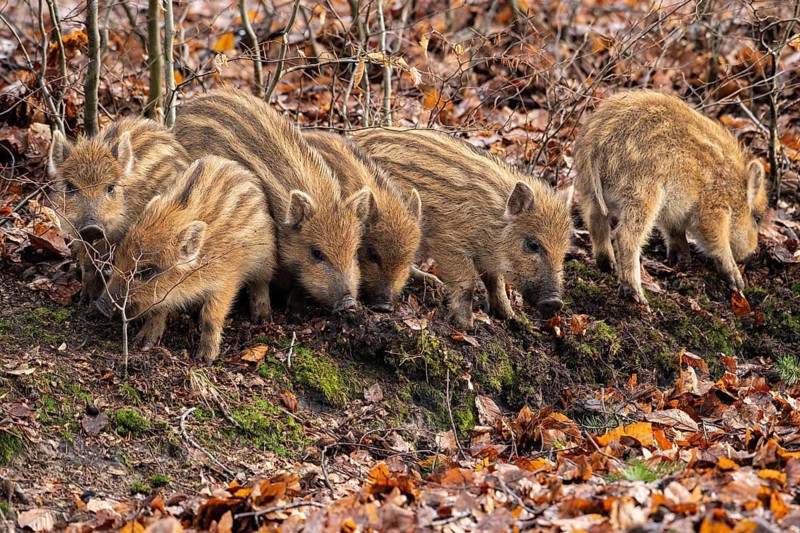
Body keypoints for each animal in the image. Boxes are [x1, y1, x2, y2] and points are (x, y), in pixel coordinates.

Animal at [95, 156, 277, 363]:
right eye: (118, 259)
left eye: (147, 271)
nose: (100, 307)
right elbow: (158, 309)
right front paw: (143, 342)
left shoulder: (227, 280)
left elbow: (211, 317)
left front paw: (206, 358)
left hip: (265, 257)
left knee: (261, 283)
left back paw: (262, 318)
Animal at [354, 129, 573, 330]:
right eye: (532, 244)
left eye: (565, 251)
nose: (555, 302)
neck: (490, 220)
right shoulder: (448, 244)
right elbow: (468, 283)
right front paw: (467, 325)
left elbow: (496, 282)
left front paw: (510, 317)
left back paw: (433, 282)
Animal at [573, 90, 767, 303]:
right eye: (757, 218)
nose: (749, 257)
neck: (732, 188)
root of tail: (597, 141)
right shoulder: (712, 211)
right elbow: (718, 242)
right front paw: (737, 283)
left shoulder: (674, 210)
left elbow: (675, 232)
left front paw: (681, 262)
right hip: (643, 194)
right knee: (625, 236)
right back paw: (637, 295)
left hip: (589, 189)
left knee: (594, 220)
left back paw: (607, 265)